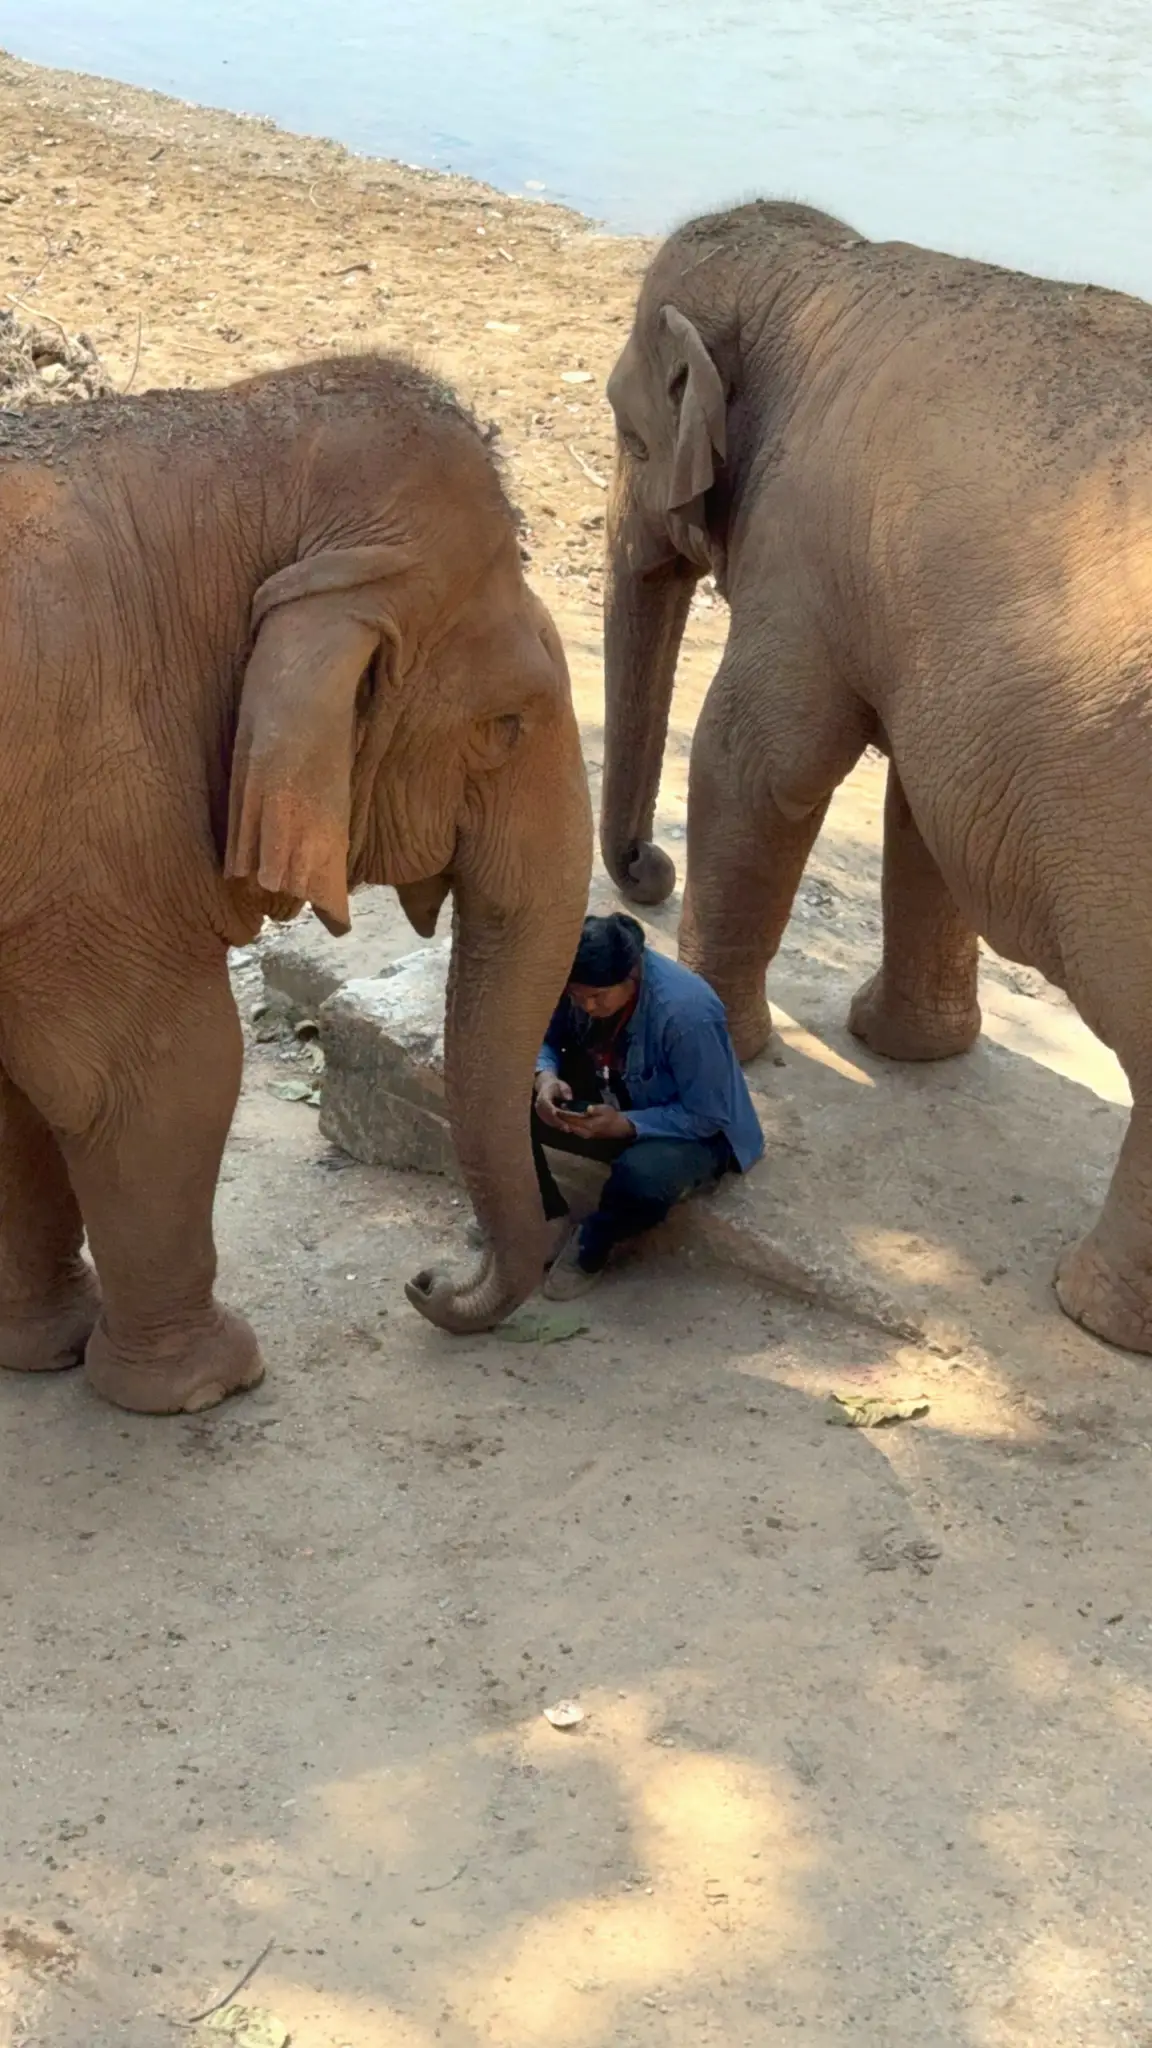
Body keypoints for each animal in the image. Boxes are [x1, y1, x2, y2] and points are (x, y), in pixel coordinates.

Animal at [0, 354, 592, 1413]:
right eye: (506, 727)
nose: (426, 1277)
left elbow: (22, 1091)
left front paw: (45, 1348)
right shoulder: (92, 811)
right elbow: (156, 1078)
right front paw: (211, 1384)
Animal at [600, 198, 1152, 1356]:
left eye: (627, 435)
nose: (648, 874)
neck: (821, 271)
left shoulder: (802, 545)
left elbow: (758, 761)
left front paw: (737, 1055)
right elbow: (923, 807)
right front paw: (901, 1049)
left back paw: (1091, 1313)